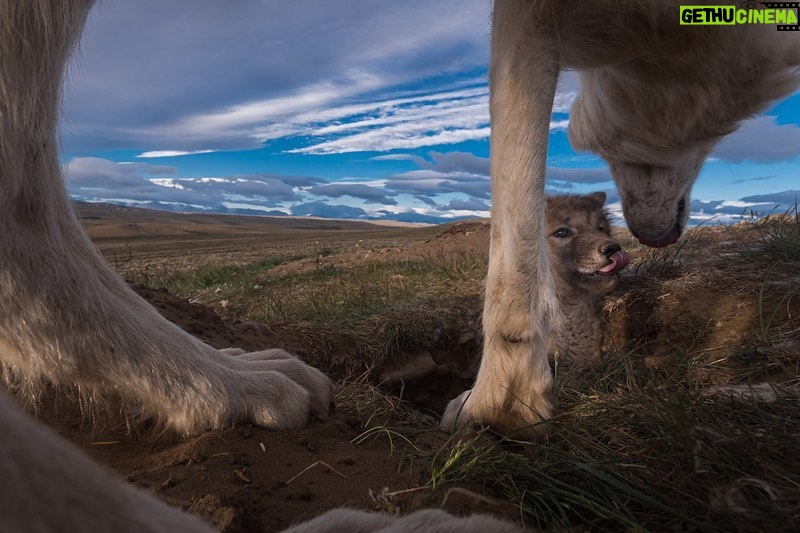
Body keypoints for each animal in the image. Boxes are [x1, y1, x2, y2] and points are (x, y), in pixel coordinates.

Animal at [0, 1, 796, 532]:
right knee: (26, 184)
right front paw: (503, 399)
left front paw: (506, 392)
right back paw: (240, 389)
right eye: (568, 230)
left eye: (602, 226)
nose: (643, 239)